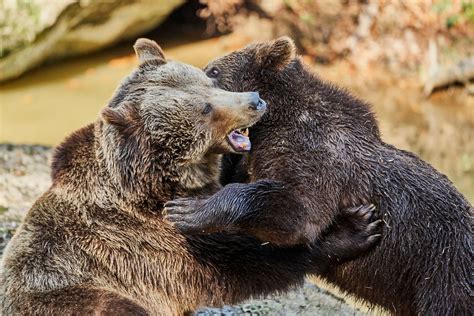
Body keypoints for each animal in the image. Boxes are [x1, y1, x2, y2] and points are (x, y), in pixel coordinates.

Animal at [0, 38, 382, 314]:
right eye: (205, 108)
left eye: (209, 81)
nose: (255, 101)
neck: (164, 182)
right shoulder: (151, 242)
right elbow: (246, 262)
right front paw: (354, 227)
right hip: (82, 296)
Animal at [164, 37, 474, 316]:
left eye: (213, 71)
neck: (276, 118)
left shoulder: (316, 157)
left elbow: (301, 213)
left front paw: (188, 210)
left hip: (445, 273)